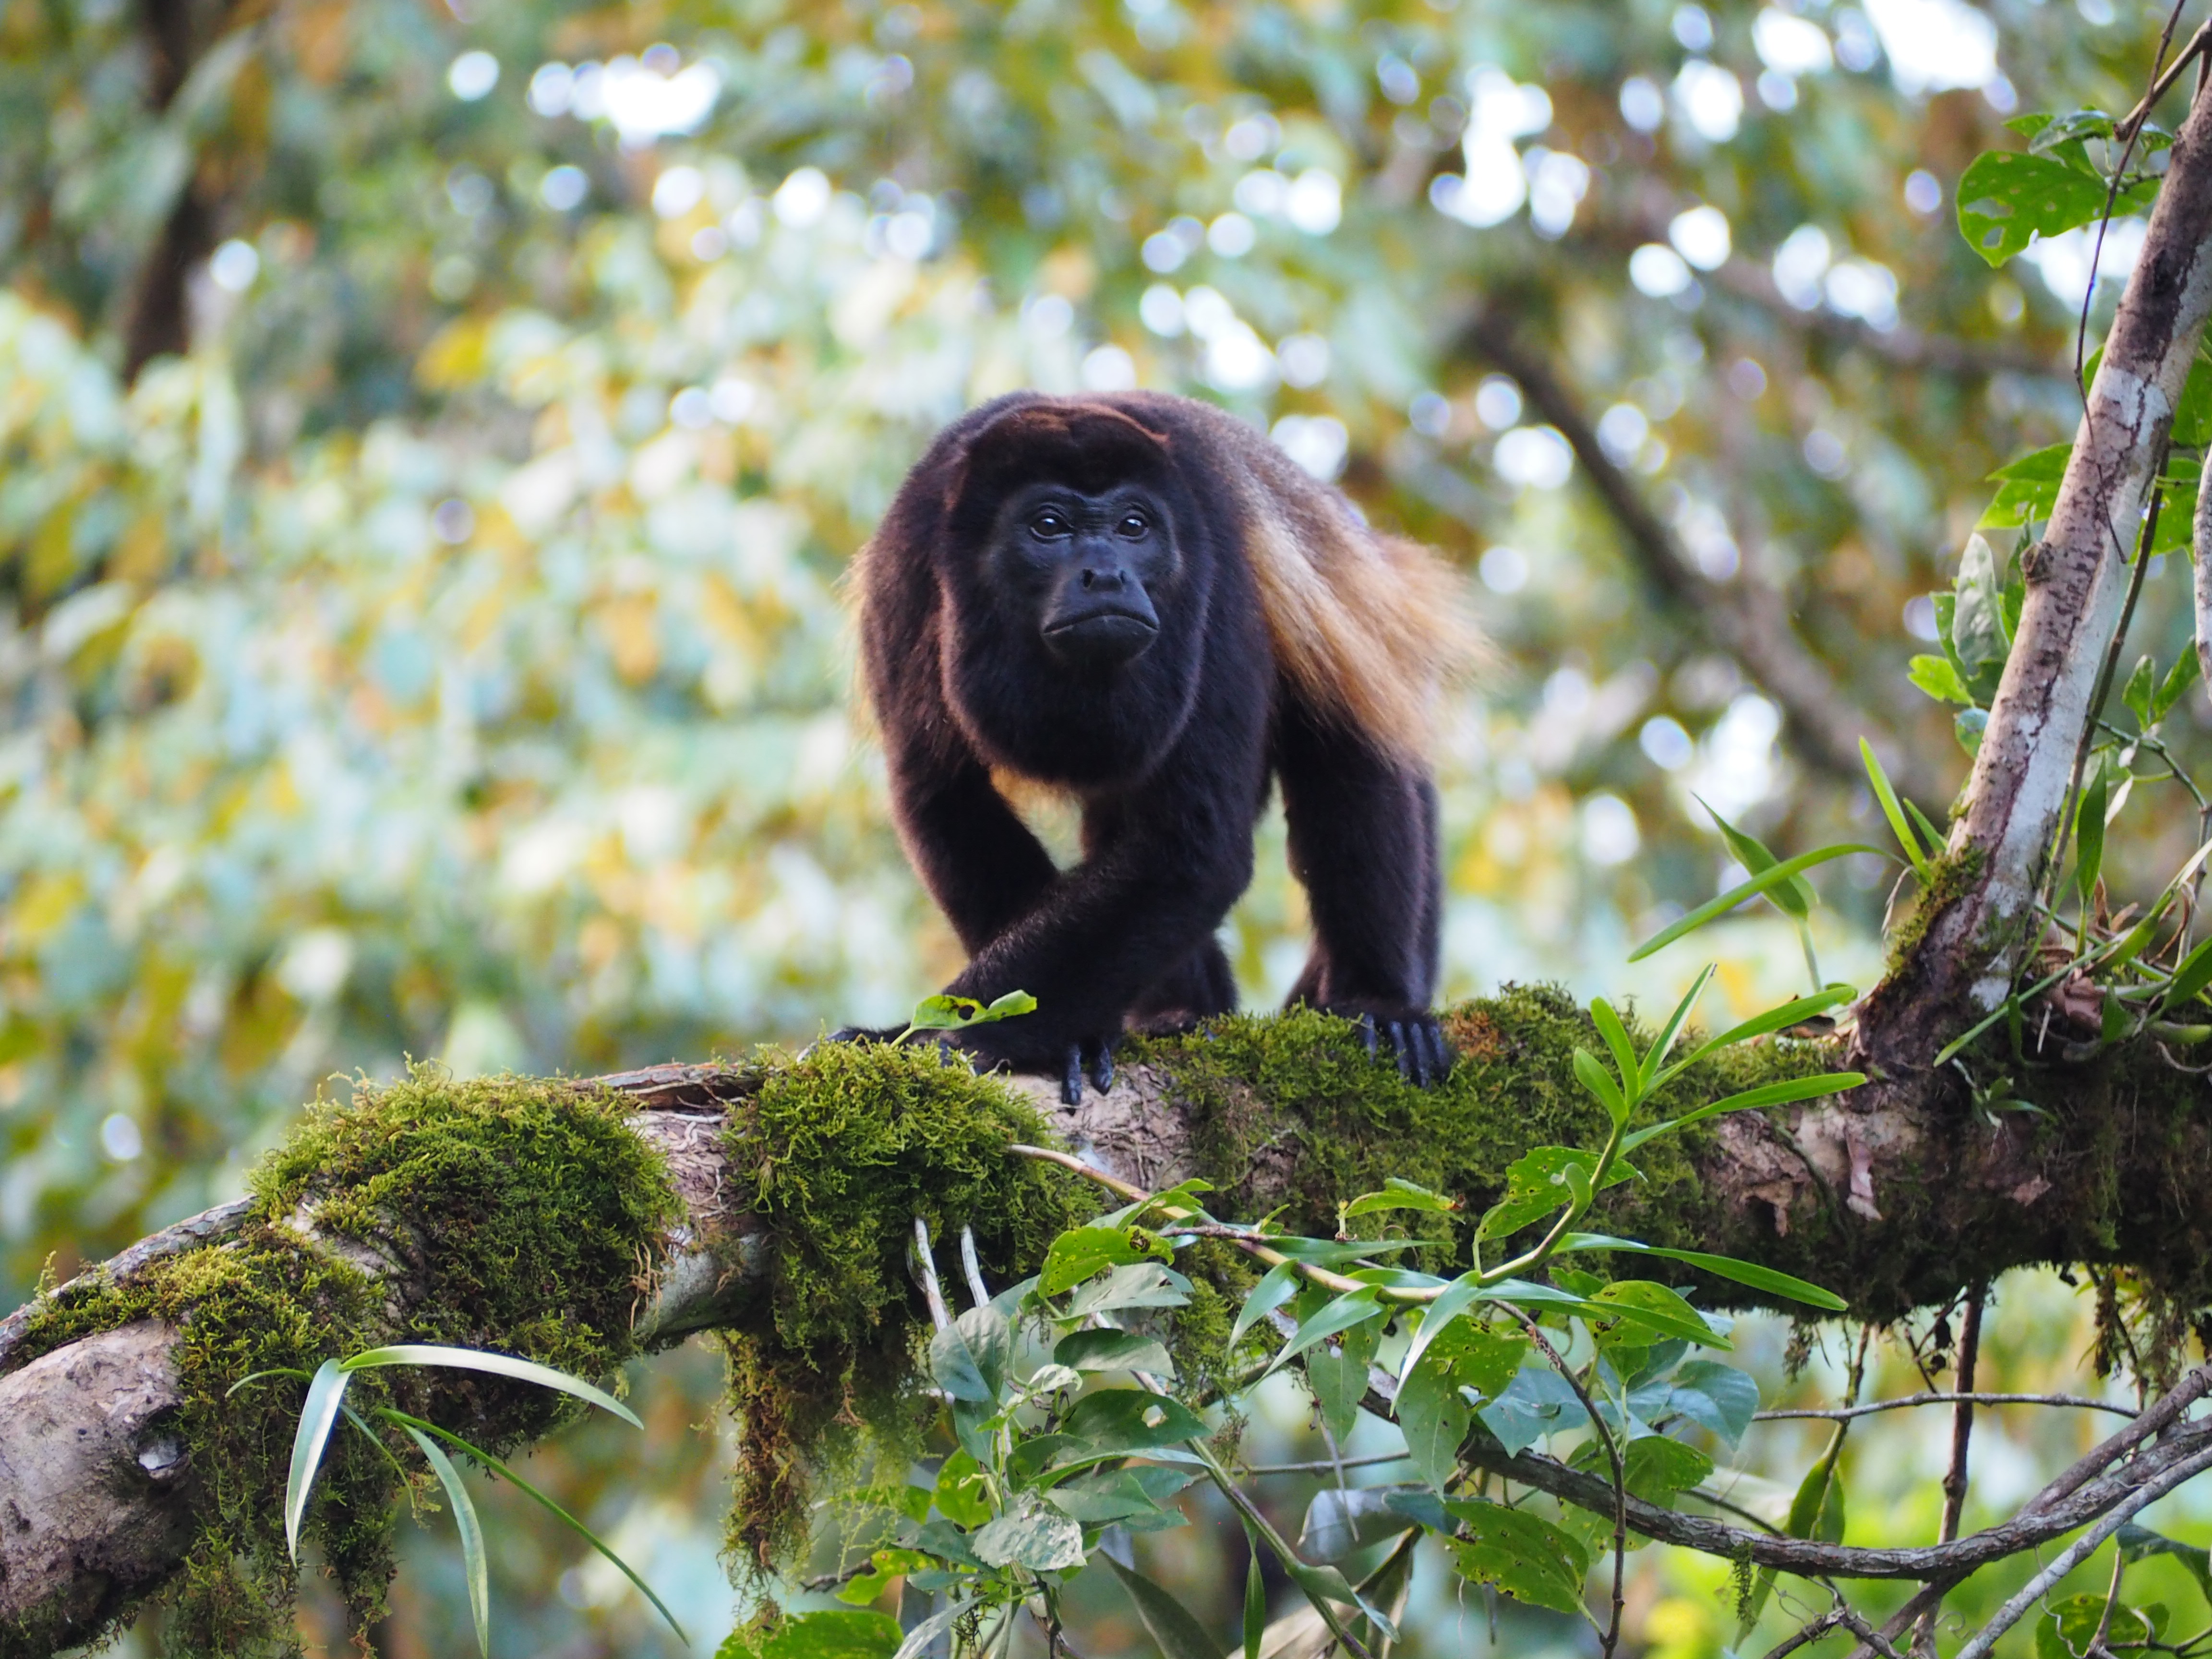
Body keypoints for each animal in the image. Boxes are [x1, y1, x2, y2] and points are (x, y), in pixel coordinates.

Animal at [843, 390, 1481, 1104]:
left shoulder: (1217, 567)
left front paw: (938, 1039)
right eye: (1048, 526)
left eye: (1133, 526)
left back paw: (1378, 1003)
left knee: (1351, 752)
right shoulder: (905, 572)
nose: (1107, 575)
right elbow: (948, 800)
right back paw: (1182, 1013)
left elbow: (1189, 847)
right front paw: (1058, 1036)